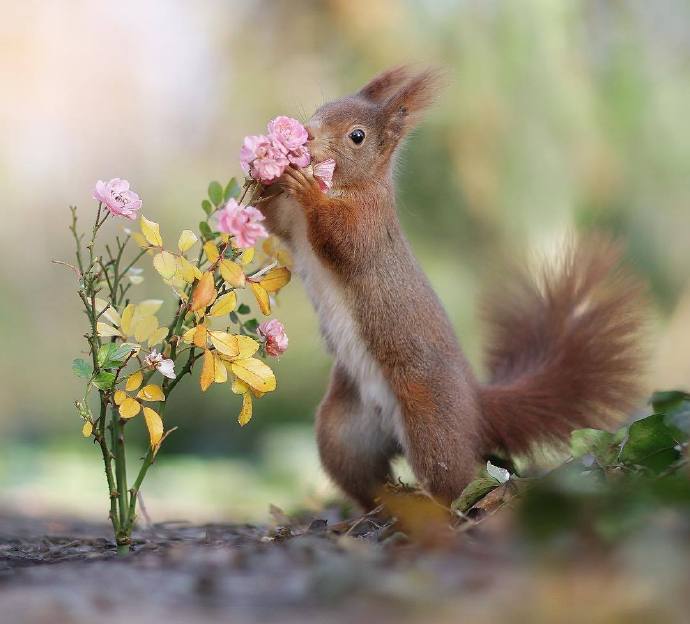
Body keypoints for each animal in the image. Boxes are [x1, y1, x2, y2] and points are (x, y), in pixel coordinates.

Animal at [258, 66, 644, 510]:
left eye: (357, 136)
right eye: (323, 108)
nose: (306, 133)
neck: (345, 186)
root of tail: (475, 406)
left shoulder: (367, 222)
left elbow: (342, 240)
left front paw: (303, 187)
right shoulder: (291, 225)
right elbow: (273, 218)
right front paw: (267, 166)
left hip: (432, 423)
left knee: (457, 476)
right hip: (345, 429)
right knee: (362, 475)